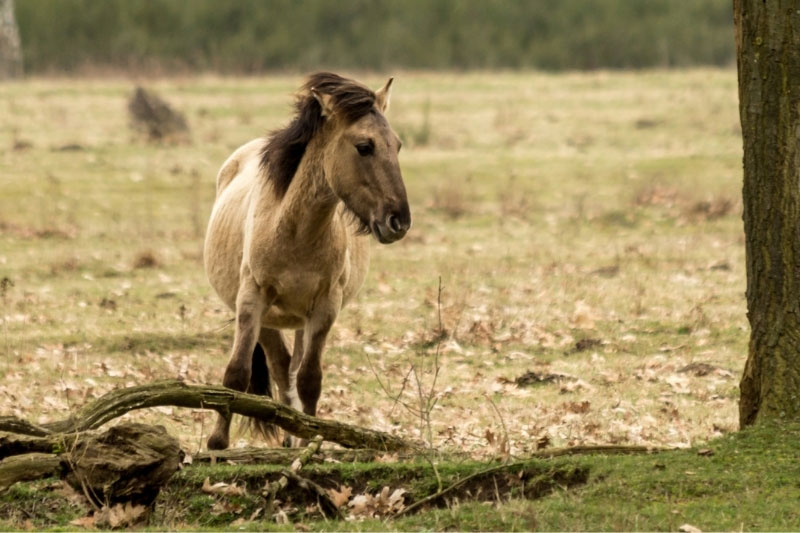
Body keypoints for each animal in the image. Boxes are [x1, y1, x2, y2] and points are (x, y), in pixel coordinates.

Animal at [203, 72, 410, 450]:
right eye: (364, 146)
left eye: (397, 145)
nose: (398, 221)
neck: (294, 231)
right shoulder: (251, 299)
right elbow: (236, 373)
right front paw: (216, 445)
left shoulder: (325, 307)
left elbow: (309, 380)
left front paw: (309, 440)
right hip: (268, 321)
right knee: (280, 367)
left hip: (301, 319)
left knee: (292, 371)